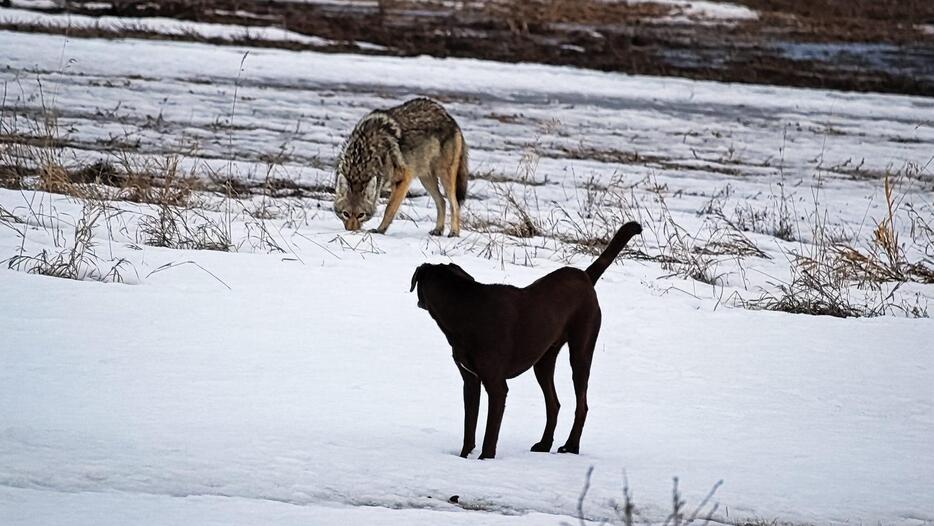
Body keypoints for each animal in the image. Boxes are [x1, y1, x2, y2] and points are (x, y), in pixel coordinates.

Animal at [412, 221, 644, 460]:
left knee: (582, 405)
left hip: (581, 350)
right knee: (554, 404)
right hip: (544, 359)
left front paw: (485, 459)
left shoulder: (496, 386)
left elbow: (490, 432)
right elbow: (470, 425)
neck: (463, 307)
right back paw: (544, 444)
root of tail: (585, 276)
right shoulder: (470, 380)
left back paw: (571, 446)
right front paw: (463, 457)